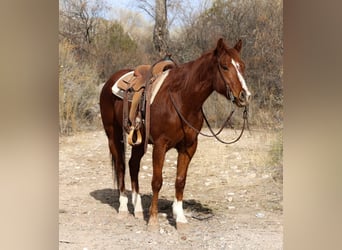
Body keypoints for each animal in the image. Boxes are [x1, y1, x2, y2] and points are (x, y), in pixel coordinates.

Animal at [99, 38, 251, 229]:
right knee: (121, 166)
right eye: (224, 66)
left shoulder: (188, 147)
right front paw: (153, 220)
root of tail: (109, 82)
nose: (245, 96)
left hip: (139, 141)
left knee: (133, 165)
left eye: (242, 66)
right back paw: (123, 208)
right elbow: (157, 181)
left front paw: (180, 218)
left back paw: (138, 208)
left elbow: (180, 180)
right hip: (113, 135)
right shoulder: (160, 145)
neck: (181, 98)